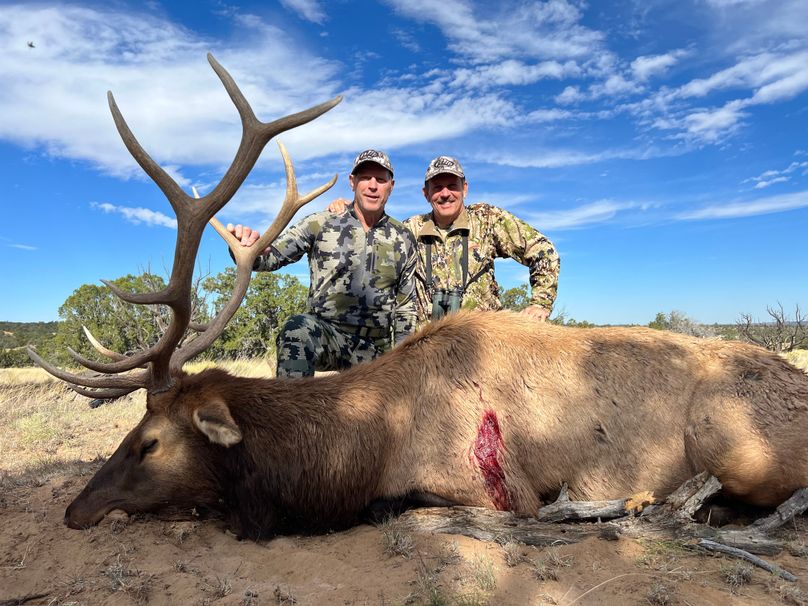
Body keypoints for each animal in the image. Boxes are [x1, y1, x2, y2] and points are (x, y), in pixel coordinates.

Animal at [30, 54, 808, 541]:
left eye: (150, 441)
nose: (75, 509)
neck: (363, 445)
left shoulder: (492, 489)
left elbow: (401, 509)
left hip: (733, 440)